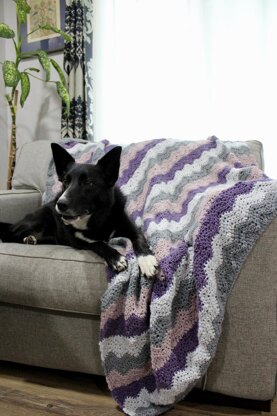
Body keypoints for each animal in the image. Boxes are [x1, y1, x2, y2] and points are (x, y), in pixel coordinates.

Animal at [0, 145, 157, 278]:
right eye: (65, 181)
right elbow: (98, 244)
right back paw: (27, 238)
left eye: (88, 183)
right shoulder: (79, 242)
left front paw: (147, 260)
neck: (98, 219)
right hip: (40, 217)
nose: (60, 205)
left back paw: (31, 239)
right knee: (10, 235)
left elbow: (139, 239)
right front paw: (116, 258)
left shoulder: (130, 227)